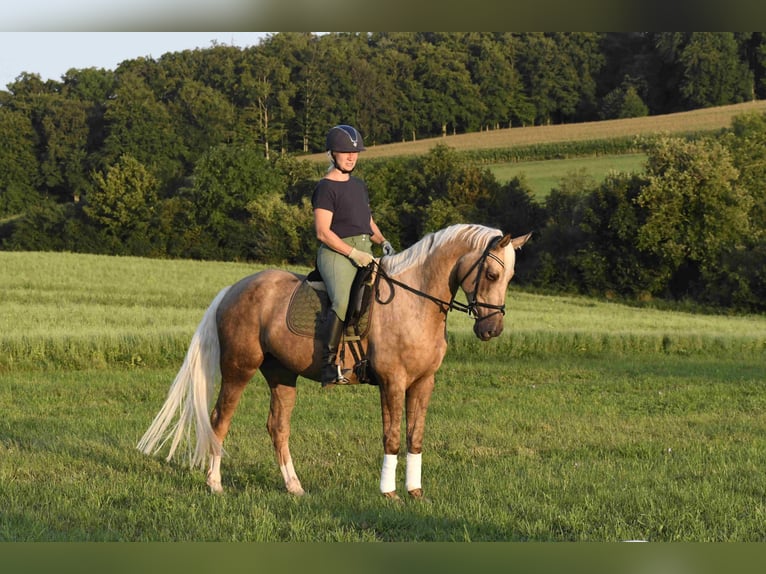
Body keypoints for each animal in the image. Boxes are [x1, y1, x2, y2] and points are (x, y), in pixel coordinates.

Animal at [138, 223, 532, 502]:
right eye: (492, 275)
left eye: (510, 277)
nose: (492, 329)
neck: (415, 301)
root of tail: (232, 289)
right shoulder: (392, 381)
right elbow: (391, 437)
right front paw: (389, 493)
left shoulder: (424, 382)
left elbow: (415, 436)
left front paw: (415, 492)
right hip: (239, 368)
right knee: (220, 420)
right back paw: (215, 484)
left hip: (282, 374)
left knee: (278, 428)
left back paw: (295, 487)